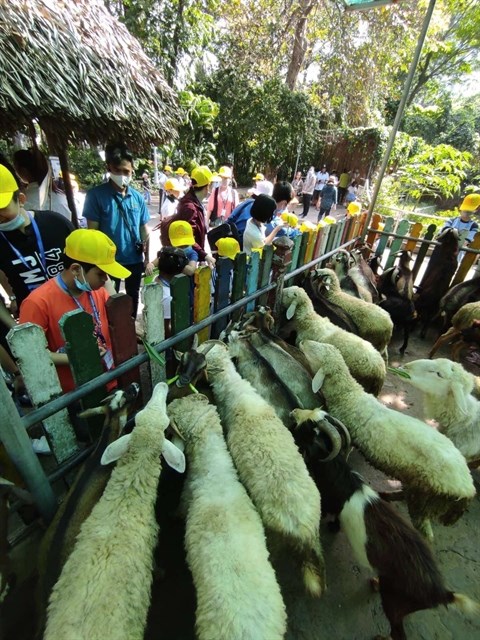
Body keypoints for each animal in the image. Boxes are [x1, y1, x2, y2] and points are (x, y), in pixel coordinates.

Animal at [288, 410, 480, 640]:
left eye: (306, 428)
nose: (291, 413)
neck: (343, 479)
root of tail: (442, 594)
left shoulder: (327, 501)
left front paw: (332, 527)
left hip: (395, 601)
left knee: (398, 630)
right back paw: (375, 583)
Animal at [298, 340, 474, 540]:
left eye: (315, 352)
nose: (302, 342)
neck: (349, 396)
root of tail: (468, 488)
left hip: (425, 499)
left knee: (425, 531)